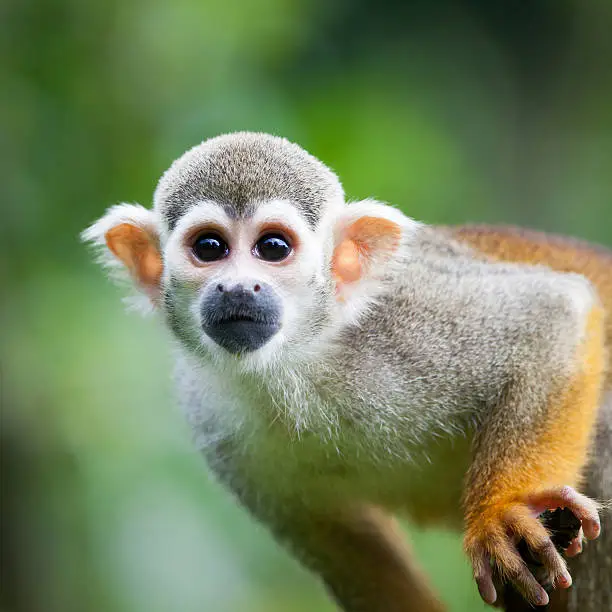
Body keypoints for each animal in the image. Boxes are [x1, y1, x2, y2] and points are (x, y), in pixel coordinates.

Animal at [83, 134, 608, 612]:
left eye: (273, 247)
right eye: (209, 247)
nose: (237, 289)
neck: (298, 362)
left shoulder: (408, 318)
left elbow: (552, 313)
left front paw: (503, 512)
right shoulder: (211, 416)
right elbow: (349, 549)